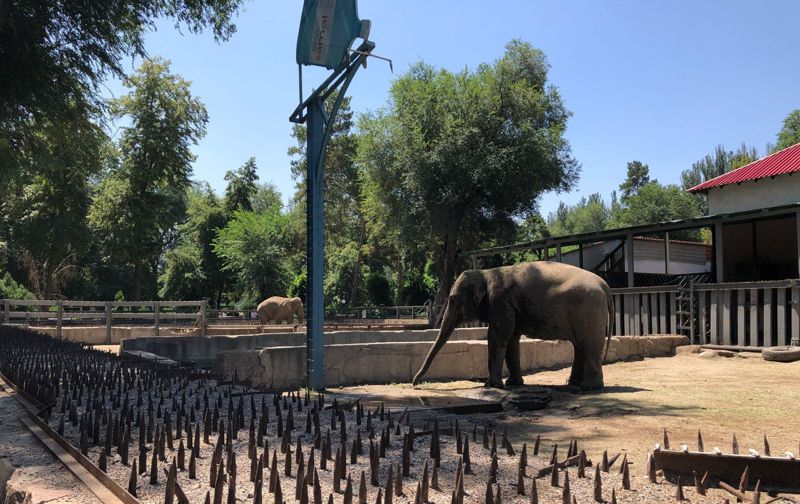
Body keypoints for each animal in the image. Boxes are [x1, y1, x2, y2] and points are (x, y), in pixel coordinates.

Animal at [412, 262, 612, 392]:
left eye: (452, 300)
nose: (416, 384)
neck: (485, 272)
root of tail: (604, 285)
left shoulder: (500, 301)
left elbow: (497, 336)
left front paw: (491, 385)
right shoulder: (508, 306)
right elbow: (511, 340)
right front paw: (513, 384)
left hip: (588, 309)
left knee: (590, 345)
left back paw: (589, 387)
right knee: (580, 345)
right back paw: (572, 383)